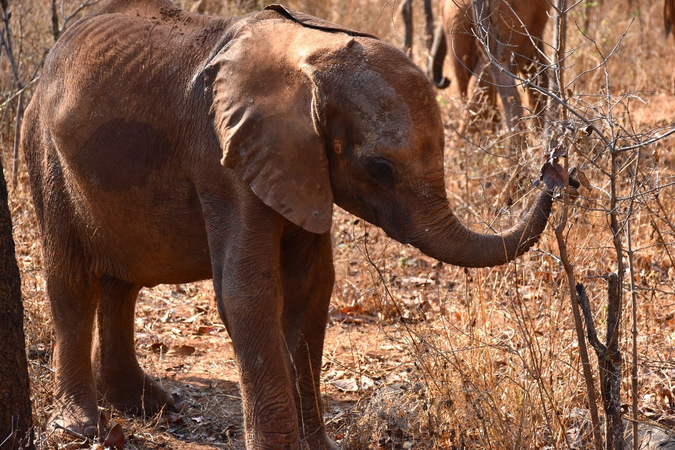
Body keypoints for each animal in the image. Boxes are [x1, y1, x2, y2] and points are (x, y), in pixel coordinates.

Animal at [21, 0, 560, 446]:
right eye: (381, 168)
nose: (555, 170)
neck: (307, 55)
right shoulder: (224, 158)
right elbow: (249, 291)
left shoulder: (299, 165)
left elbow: (312, 288)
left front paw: (318, 446)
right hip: (42, 148)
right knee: (71, 281)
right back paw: (81, 428)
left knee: (122, 281)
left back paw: (147, 406)